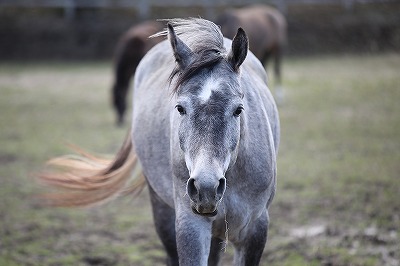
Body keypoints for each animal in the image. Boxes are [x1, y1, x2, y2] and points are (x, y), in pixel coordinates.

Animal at [39, 17, 278, 264]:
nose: (206, 187)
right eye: (180, 108)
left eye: (238, 109)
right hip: (162, 207)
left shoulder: (255, 229)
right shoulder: (191, 225)